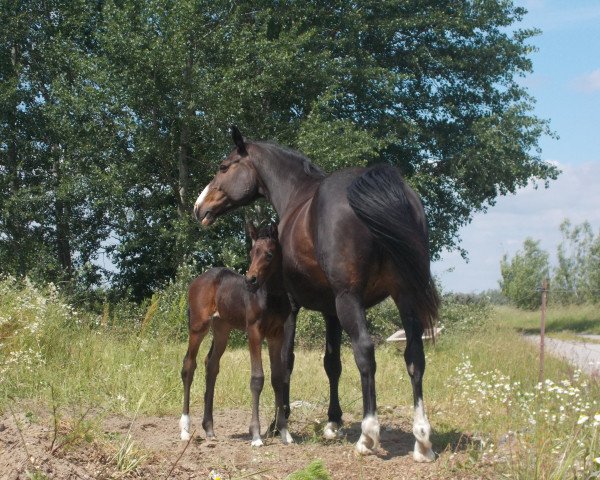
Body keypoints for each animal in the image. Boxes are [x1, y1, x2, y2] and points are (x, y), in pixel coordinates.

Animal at [178, 224, 292, 446]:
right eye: (251, 252)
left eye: (269, 254)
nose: (250, 280)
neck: (271, 296)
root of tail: (196, 281)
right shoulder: (254, 331)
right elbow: (257, 378)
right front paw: (256, 435)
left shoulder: (277, 334)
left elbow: (277, 378)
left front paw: (284, 432)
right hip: (198, 326)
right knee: (189, 365)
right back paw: (185, 428)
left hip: (222, 328)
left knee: (211, 365)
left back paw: (209, 428)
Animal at [195, 127, 438, 462]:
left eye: (223, 166)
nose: (199, 207)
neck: (296, 195)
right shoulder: (330, 311)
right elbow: (332, 363)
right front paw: (333, 421)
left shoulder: (293, 309)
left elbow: (285, 363)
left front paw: (278, 423)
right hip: (405, 297)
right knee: (414, 356)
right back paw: (422, 440)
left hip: (352, 300)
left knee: (365, 353)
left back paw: (368, 435)